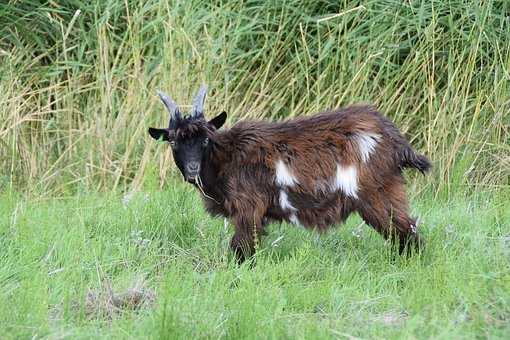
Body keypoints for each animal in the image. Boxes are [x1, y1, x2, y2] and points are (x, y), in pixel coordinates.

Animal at [147, 85, 430, 262]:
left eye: (205, 139)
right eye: (173, 141)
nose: (192, 170)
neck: (227, 156)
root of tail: (395, 140)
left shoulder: (248, 208)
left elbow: (241, 248)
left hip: (378, 194)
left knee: (407, 232)